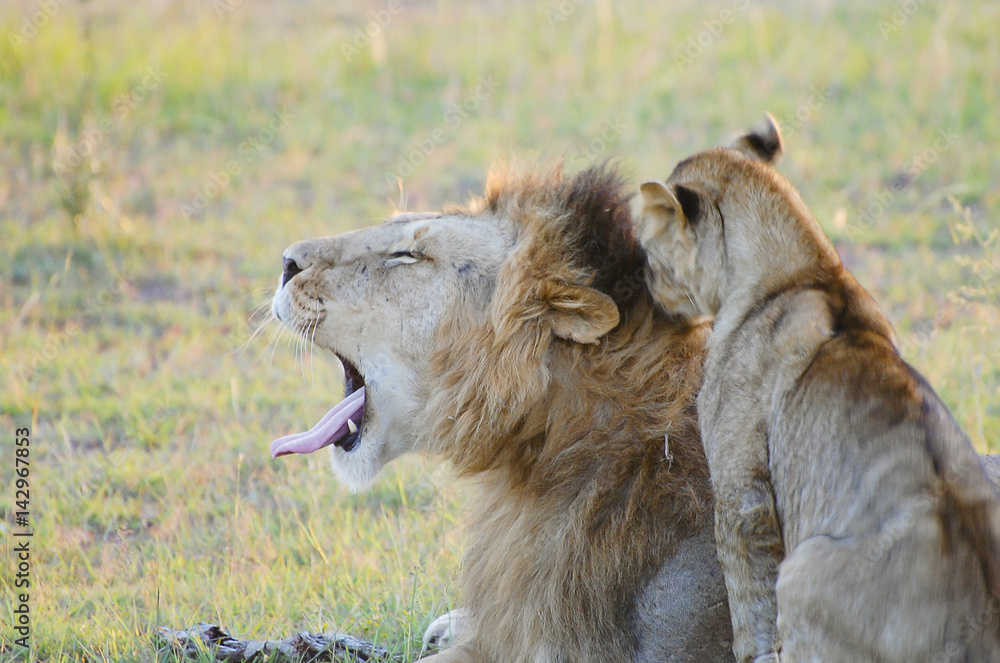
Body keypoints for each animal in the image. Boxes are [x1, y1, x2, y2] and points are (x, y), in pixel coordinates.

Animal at [637, 115, 1000, 662]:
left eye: (646, 248)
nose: (643, 280)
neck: (808, 268)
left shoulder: (739, 481)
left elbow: (746, 596)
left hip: (802, 572)